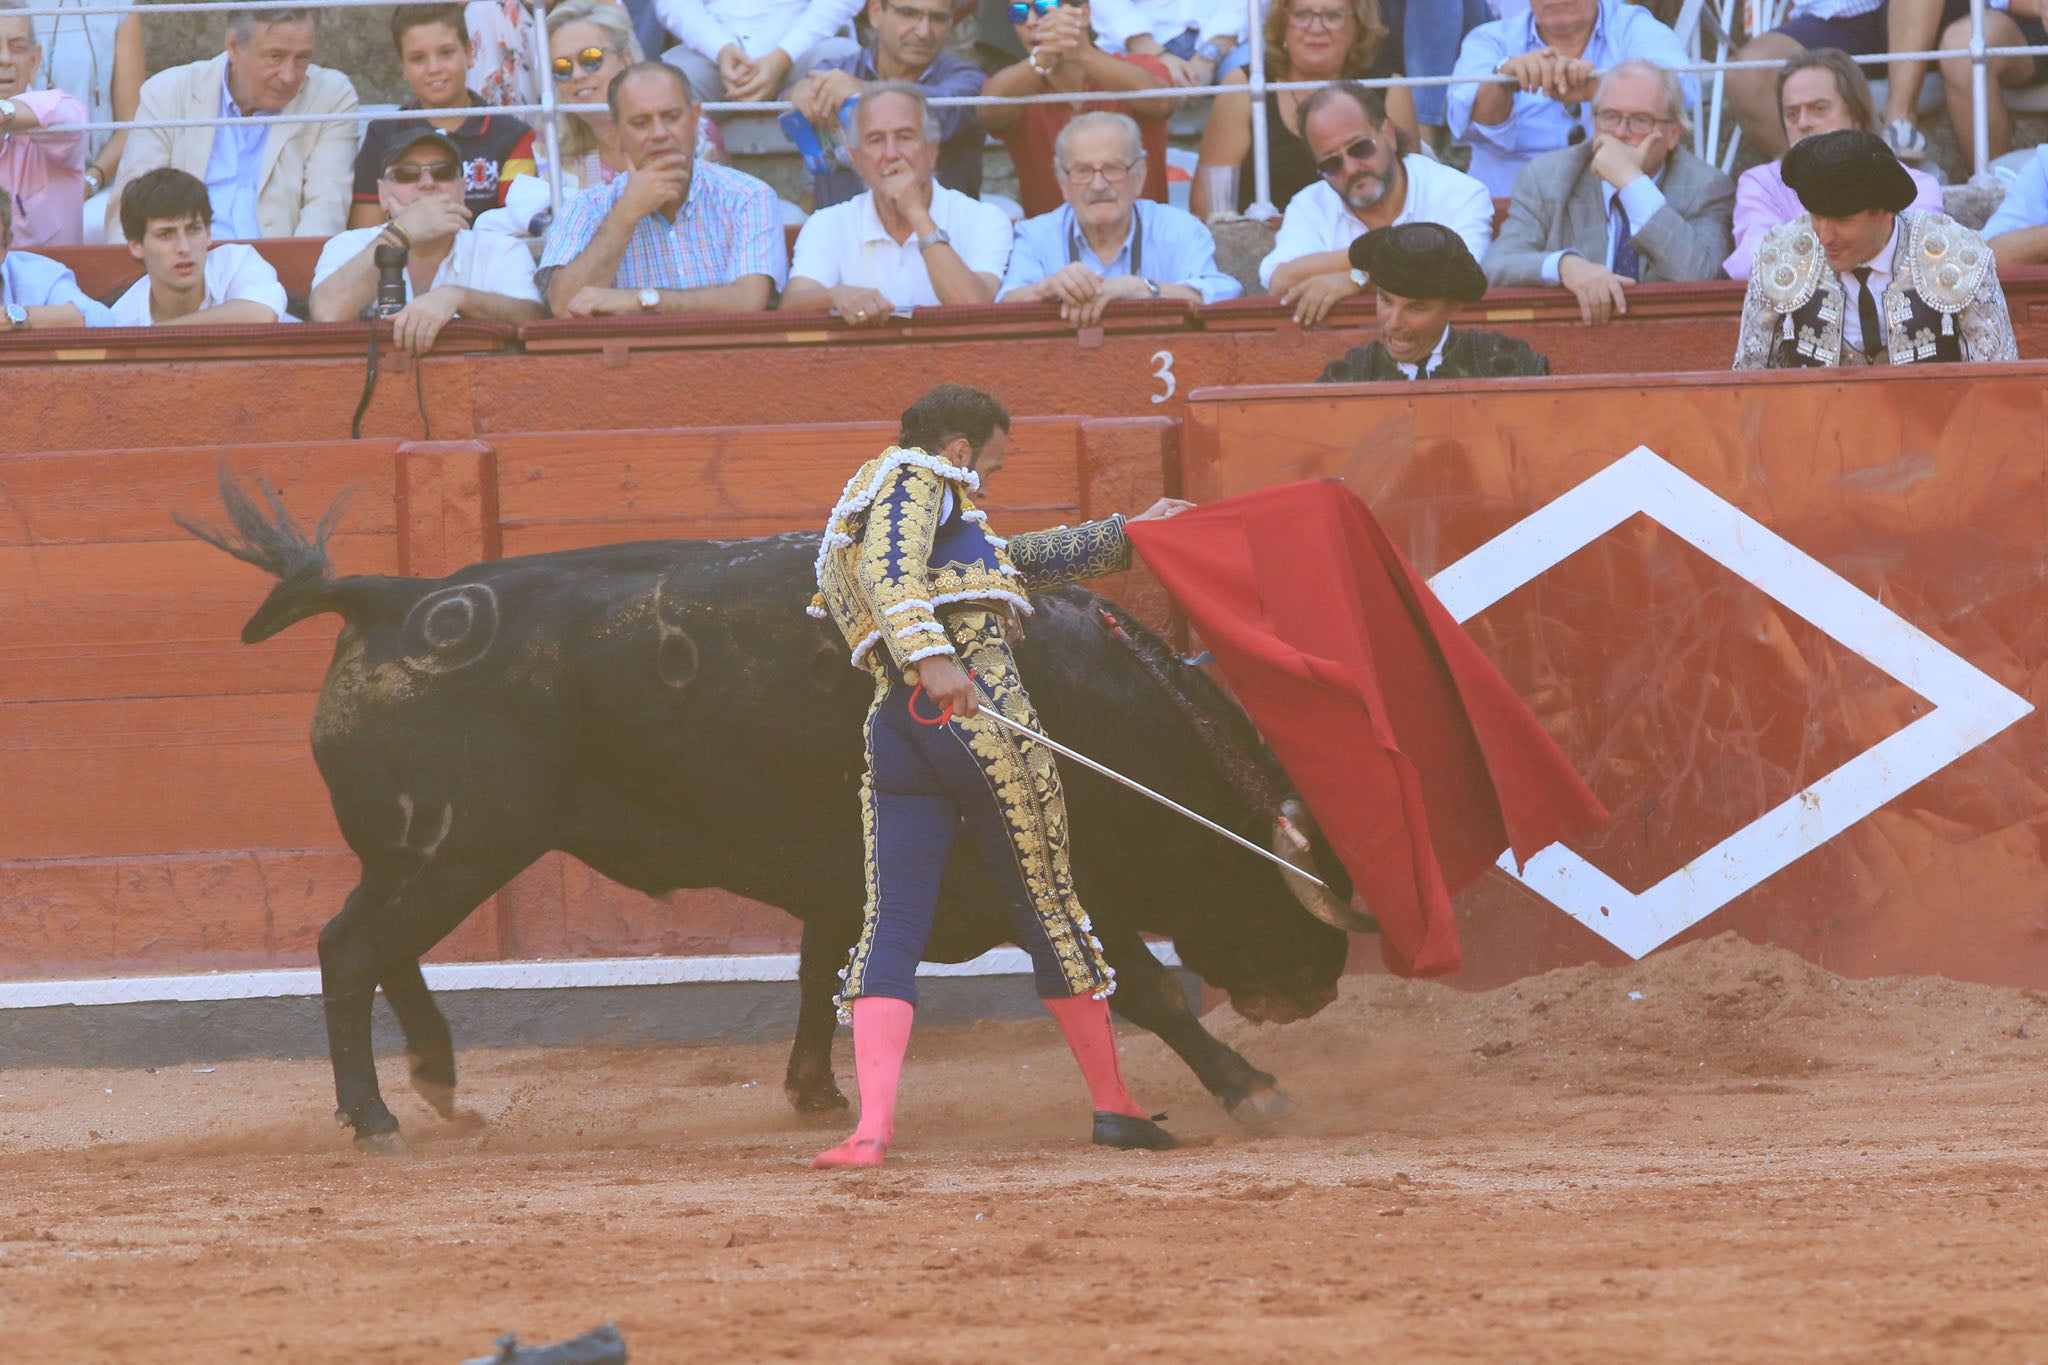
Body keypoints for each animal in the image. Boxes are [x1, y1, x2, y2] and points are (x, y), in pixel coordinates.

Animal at [184, 480, 1368, 1154]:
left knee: (385, 948)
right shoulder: (1053, 865)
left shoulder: (848, 870)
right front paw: (1253, 1090)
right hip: (457, 846)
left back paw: (437, 1083)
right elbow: (1144, 986)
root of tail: (391, 596)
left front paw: (811, 1094)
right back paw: (378, 1117)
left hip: (436, 852)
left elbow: (818, 973)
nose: (1314, 990)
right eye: (1267, 888)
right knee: (350, 949)